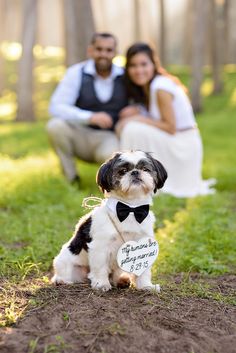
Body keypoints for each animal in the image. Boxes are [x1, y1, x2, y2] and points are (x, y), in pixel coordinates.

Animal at [51, 150, 168, 290]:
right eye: (122, 171)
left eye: (145, 169)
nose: (135, 172)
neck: (131, 209)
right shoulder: (100, 247)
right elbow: (100, 268)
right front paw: (101, 284)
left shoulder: (144, 243)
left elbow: (144, 271)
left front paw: (146, 286)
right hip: (67, 265)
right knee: (64, 273)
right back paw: (61, 280)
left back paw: (121, 280)